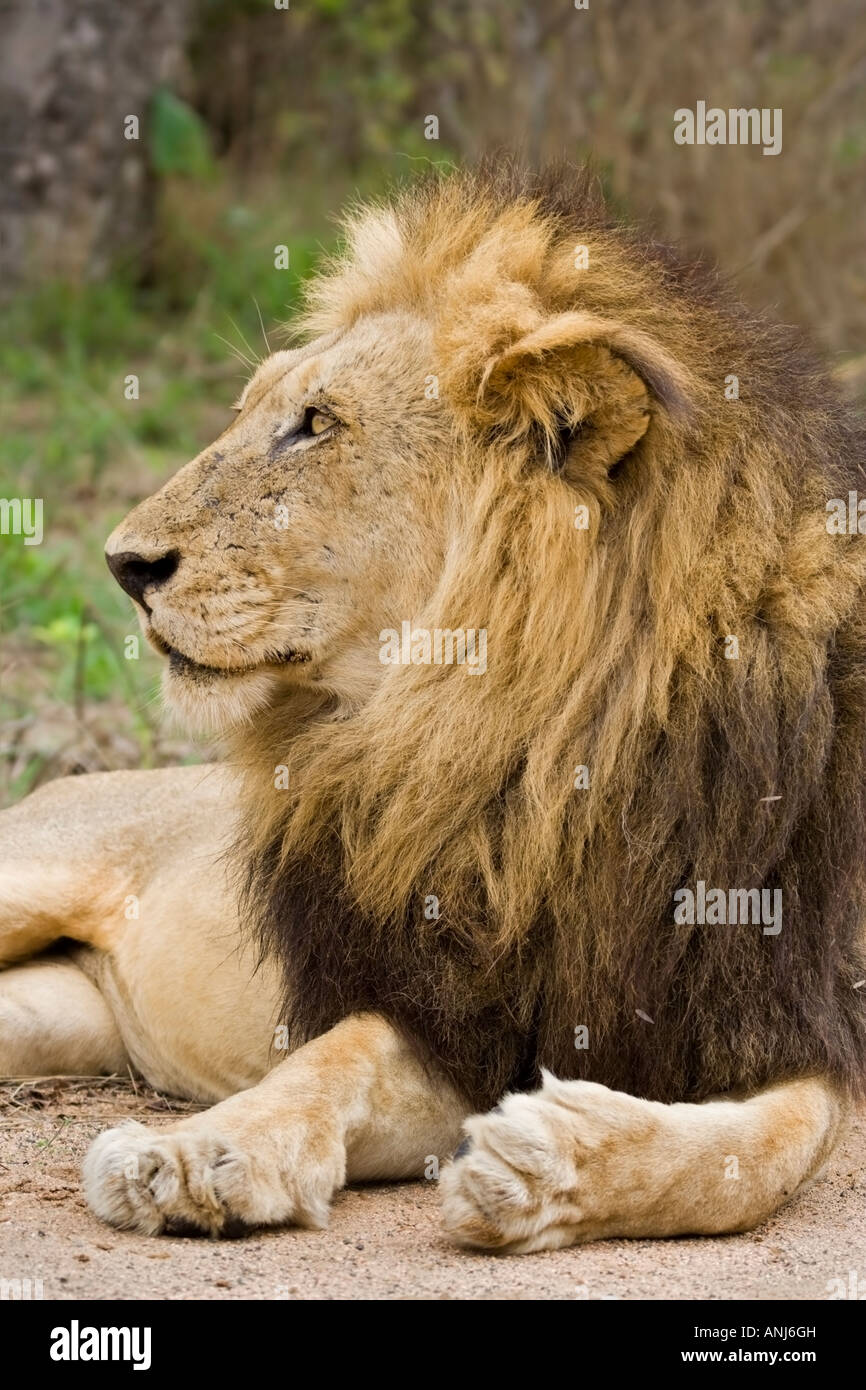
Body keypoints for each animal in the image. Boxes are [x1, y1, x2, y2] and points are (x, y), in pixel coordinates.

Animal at [2, 160, 865, 1253]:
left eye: (316, 424)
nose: (124, 565)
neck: (547, 749)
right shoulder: (446, 1005)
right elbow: (335, 1056)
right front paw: (198, 1154)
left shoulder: (789, 1008)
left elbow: (762, 1151)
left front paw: (543, 1166)